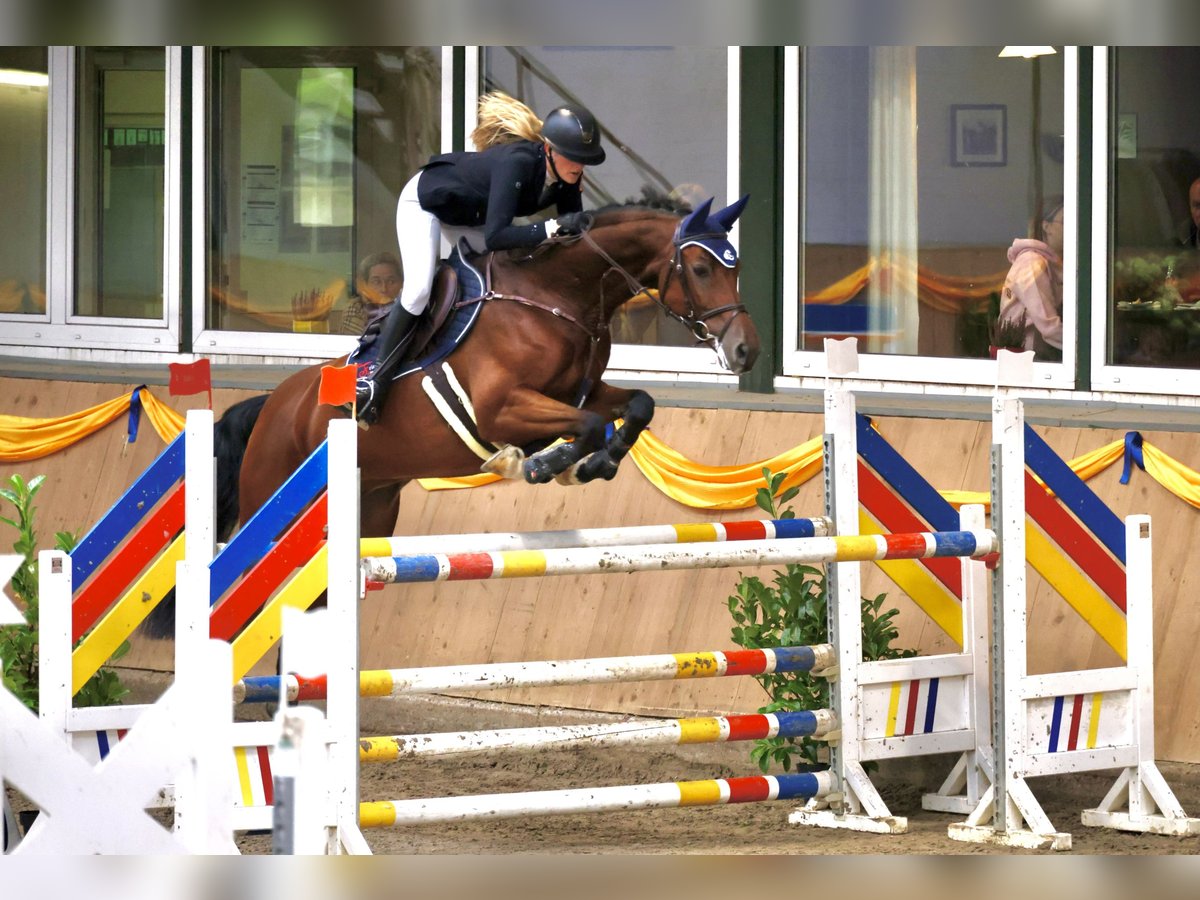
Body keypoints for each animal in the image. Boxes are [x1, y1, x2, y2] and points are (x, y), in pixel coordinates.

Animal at [141, 197, 759, 639]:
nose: (747, 351)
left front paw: (594, 464)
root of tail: (272, 404)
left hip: (369, 511)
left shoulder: (581, 392)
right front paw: (545, 465)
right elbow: (580, 427)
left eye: (735, 271)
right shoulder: (502, 408)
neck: (558, 297)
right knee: (241, 589)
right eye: (700, 267)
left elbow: (637, 405)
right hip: (270, 509)